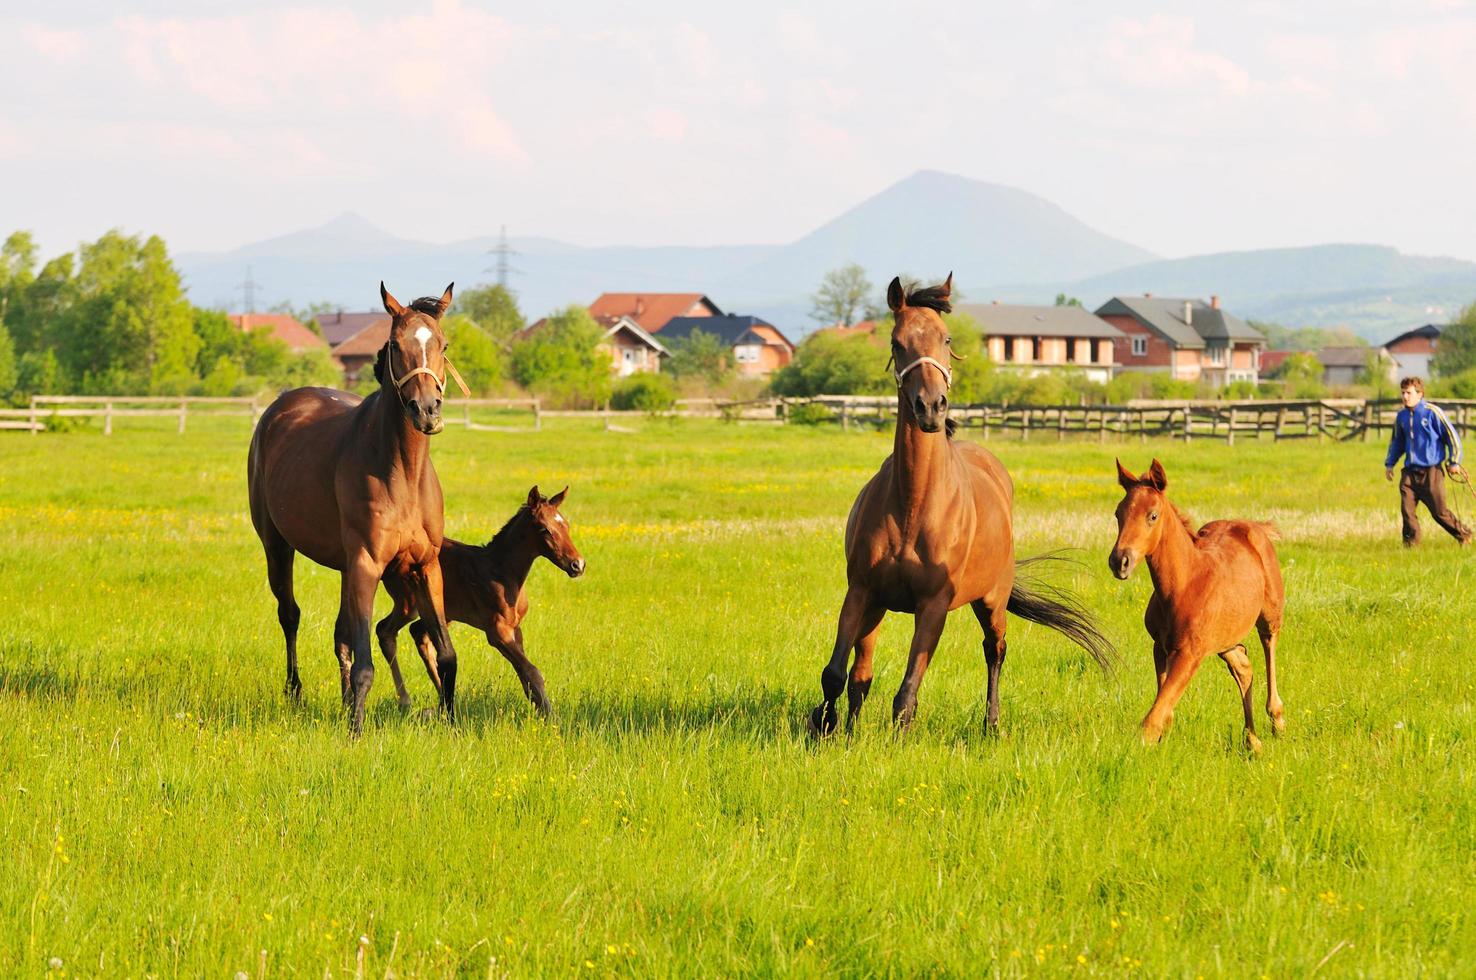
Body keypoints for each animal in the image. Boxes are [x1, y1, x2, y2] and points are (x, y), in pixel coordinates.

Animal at [246, 278, 460, 732]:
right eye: (396, 344)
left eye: (443, 344)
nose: (426, 410)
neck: (401, 472)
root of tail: (281, 407)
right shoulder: (365, 563)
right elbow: (365, 663)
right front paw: (356, 731)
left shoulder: (425, 566)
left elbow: (446, 654)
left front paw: (452, 722)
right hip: (278, 546)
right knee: (290, 614)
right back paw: (296, 691)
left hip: (345, 567)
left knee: (340, 634)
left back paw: (344, 703)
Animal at [371, 487, 584, 717]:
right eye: (544, 529)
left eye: (566, 525)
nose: (578, 565)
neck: (501, 571)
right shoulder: (497, 631)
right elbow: (532, 671)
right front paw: (551, 716)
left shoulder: (515, 628)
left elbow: (525, 675)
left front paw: (541, 712)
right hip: (408, 604)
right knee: (385, 630)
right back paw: (406, 701)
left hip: (441, 611)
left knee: (418, 632)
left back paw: (441, 701)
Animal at [814, 275, 1109, 735]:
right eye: (897, 342)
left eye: (946, 338)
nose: (931, 407)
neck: (913, 504)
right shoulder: (862, 590)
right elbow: (836, 674)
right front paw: (828, 728)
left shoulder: (934, 607)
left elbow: (906, 695)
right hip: (879, 606)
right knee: (862, 674)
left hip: (992, 601)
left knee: (995, 650)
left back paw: (992, 724)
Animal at [1109, 460, 1281, 749]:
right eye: (1118, 513)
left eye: (1152, 515)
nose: (1120, 561)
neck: (1185, 584)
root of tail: (1255, 526)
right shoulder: (1160, 647)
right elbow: (1164, 710)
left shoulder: (1190, 653)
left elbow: (1154, 717)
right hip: (1226, 636)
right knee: (1243, 667)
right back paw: (1252, 741)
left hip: (1269, 616)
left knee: (1269, 646)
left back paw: (1277, 720)